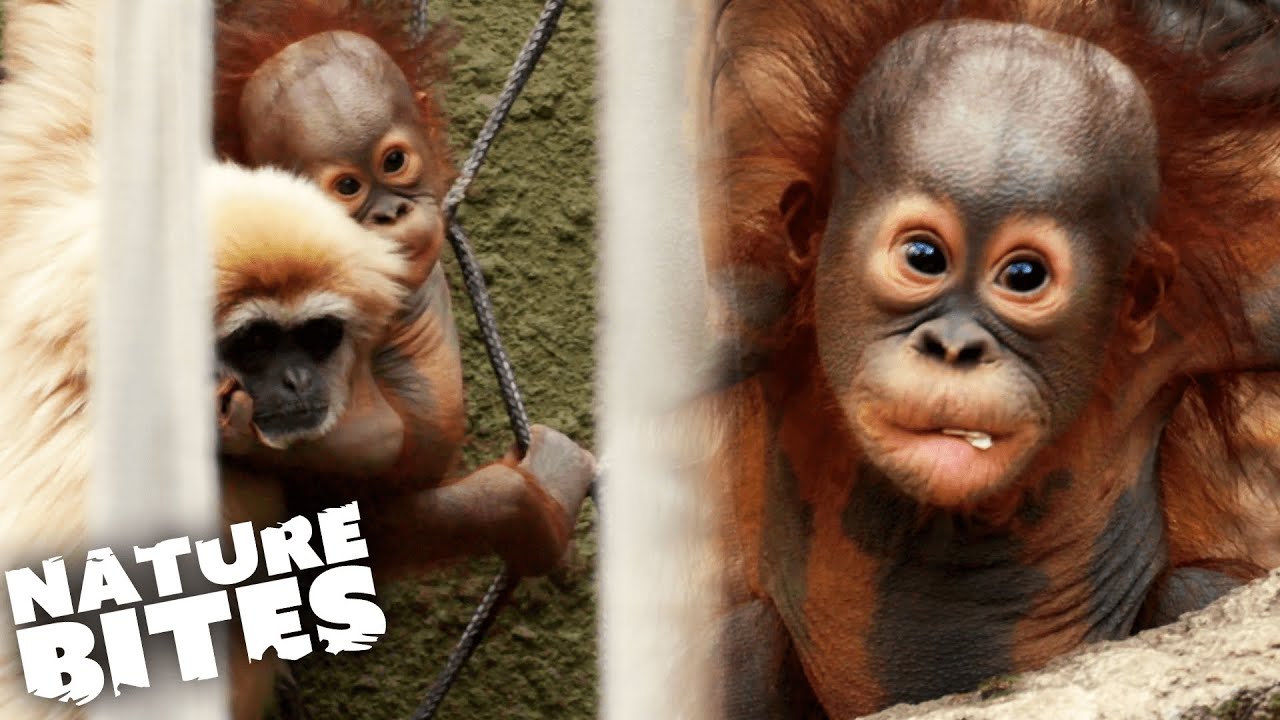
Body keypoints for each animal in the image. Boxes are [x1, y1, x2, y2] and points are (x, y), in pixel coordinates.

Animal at [694, 1, 1280, 716]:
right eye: (923, 257)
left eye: (1024, 275)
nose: (954, 347)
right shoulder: (765, 309)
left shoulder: (1181, 331)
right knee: (742, 641)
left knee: (1191, 590)